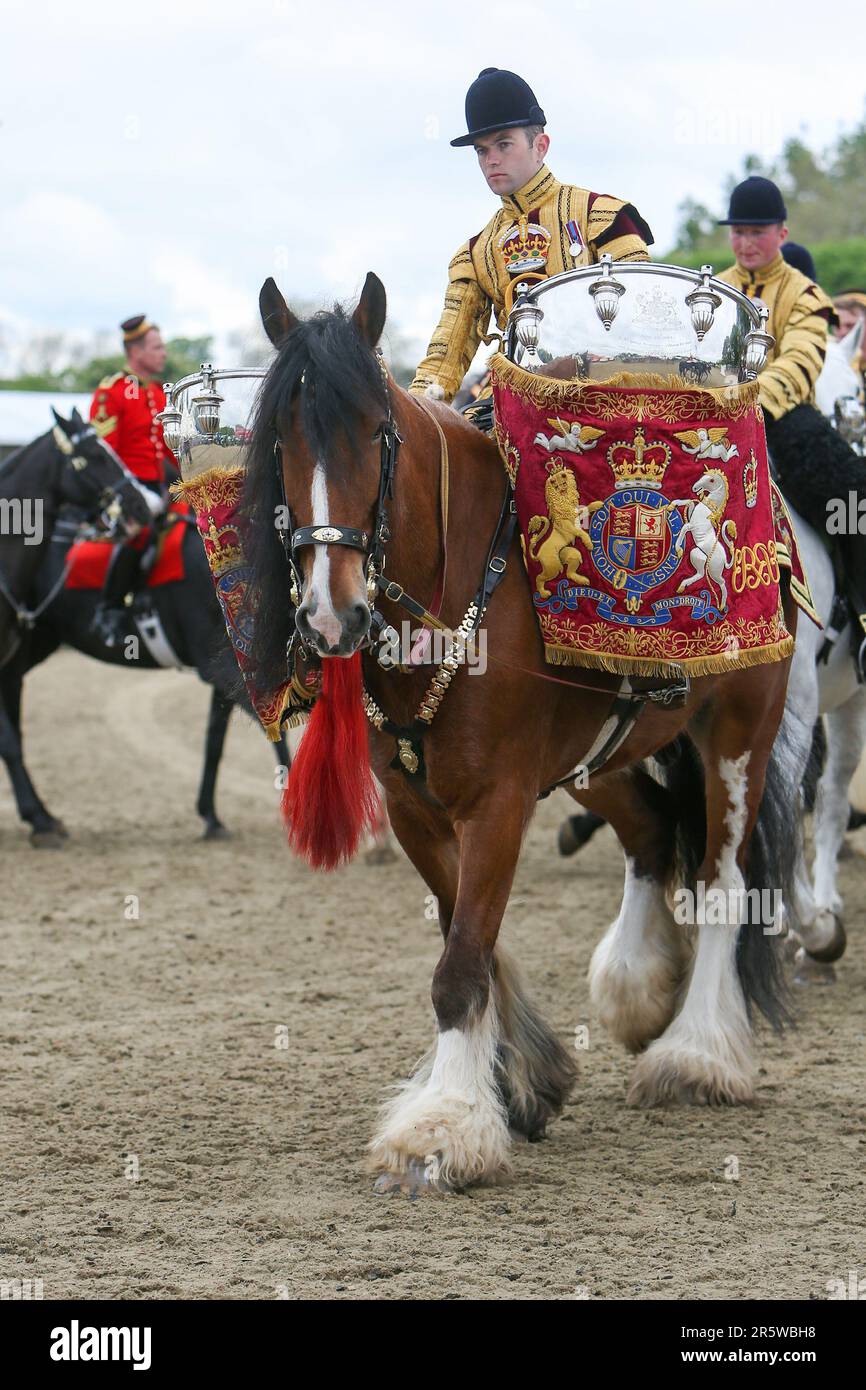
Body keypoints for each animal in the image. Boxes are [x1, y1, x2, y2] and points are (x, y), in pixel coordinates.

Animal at [0, 408, 291, 845]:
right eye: (93, 457)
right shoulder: (224, 668)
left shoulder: (231, 668)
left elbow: (214, 742)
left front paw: (210, 815)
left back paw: (39, 816)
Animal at [241, 273, 800, 1195]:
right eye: (280, 440)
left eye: (377, 433)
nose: (331, 613)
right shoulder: (415, 807)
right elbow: (468, 940)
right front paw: (522, 1082)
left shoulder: (498, 801)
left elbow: (462, 960)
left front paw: (443, 1129)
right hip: (598, 759)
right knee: (653, 832)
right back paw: (640, 992)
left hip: (738, 732)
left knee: (723, 880)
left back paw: (695, 1055)